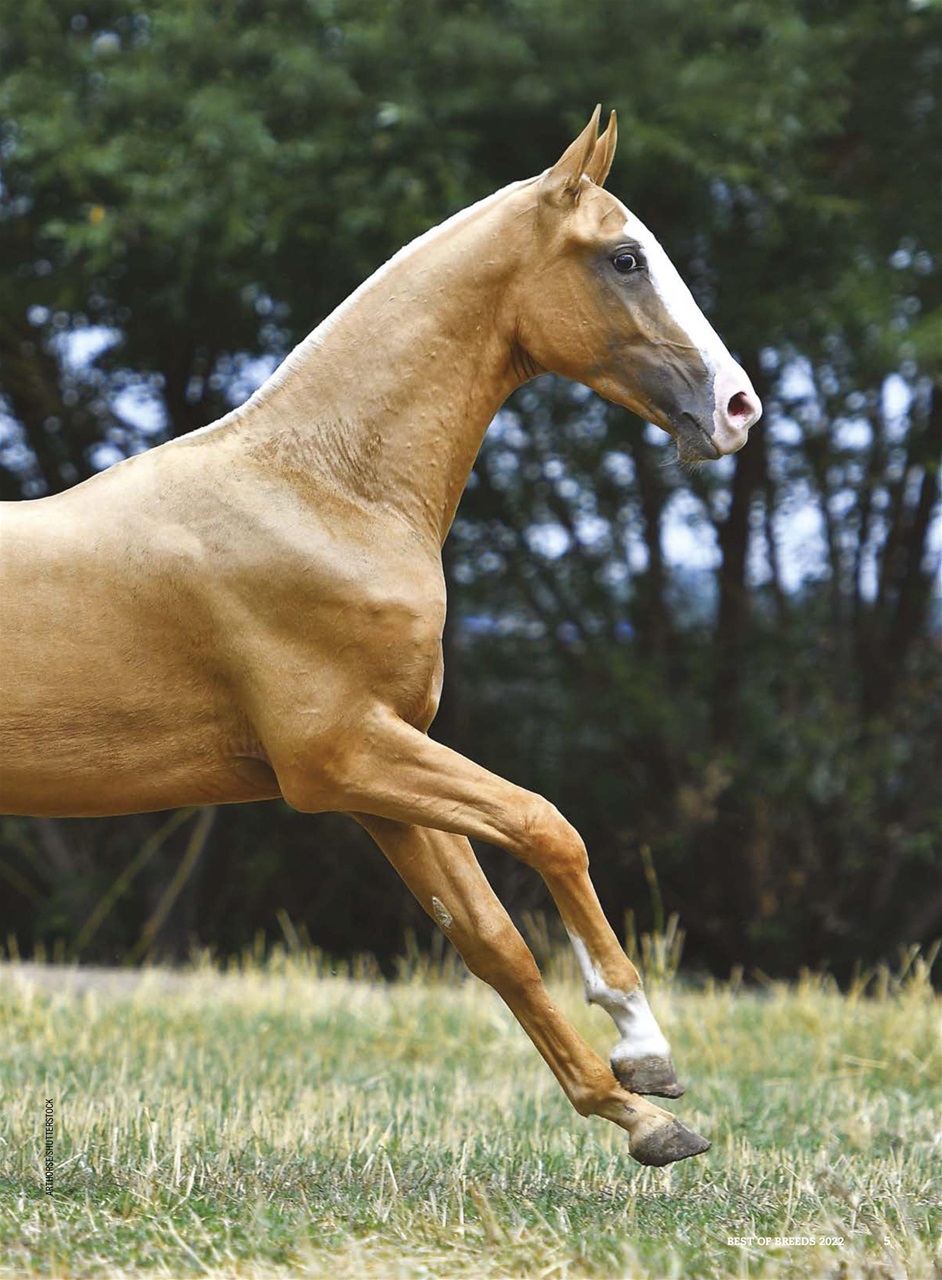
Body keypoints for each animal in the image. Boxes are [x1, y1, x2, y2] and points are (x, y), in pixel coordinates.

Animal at [0, 108, 761, 1166]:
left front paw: (642, 1117)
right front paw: (643, 1046)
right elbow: (547, 825)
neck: (324, 492)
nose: (738, 407)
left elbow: (491, 941)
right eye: (624, 258)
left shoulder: (383, 776)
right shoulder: (341, 756)